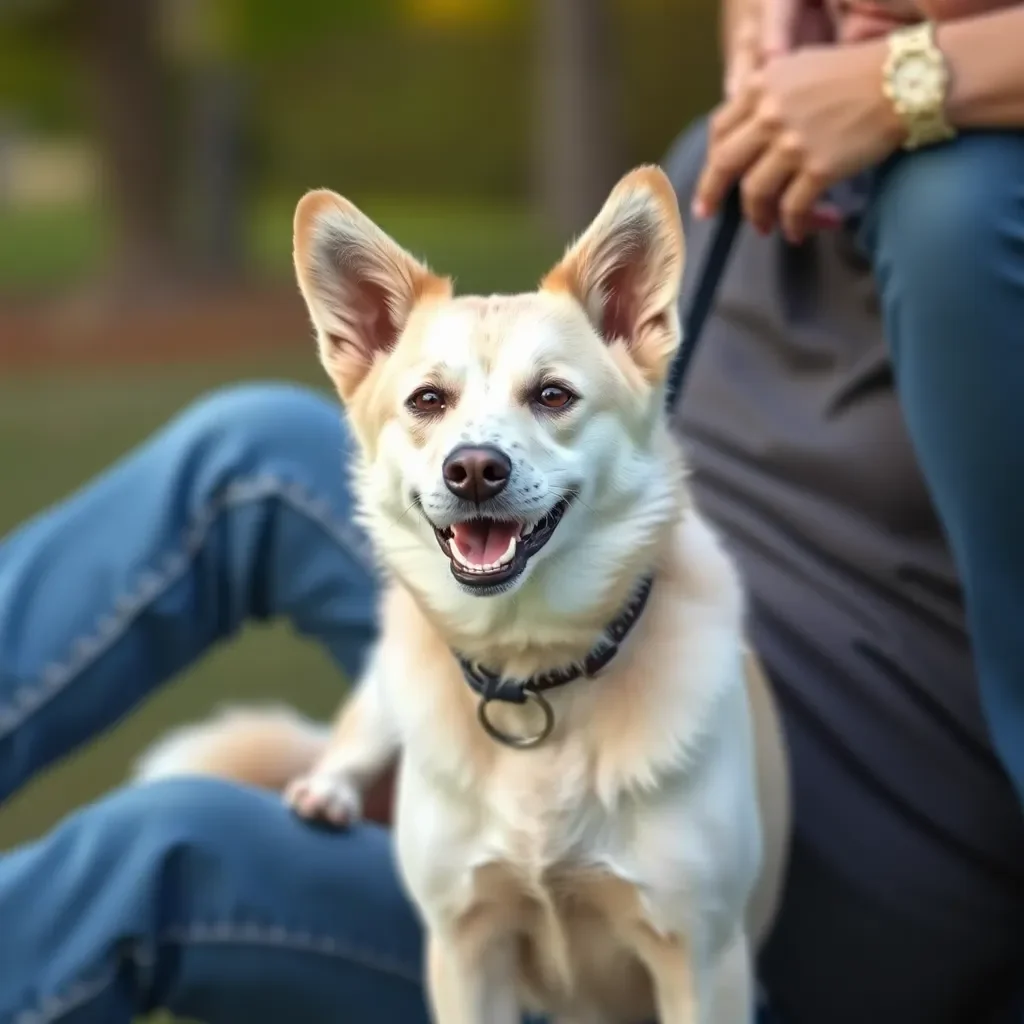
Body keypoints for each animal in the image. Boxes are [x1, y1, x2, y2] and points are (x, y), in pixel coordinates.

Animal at [138, 167, 790, 1024]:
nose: (474, 469)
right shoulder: (463, 944)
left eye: (553, 396)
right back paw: (327, 791)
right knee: (356, 733)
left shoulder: (703, 959)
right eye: (427, 401)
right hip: (389, 684)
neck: (534, 668)